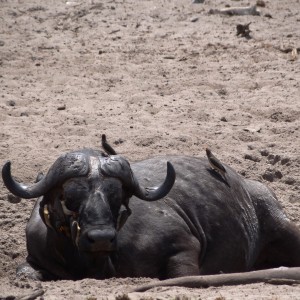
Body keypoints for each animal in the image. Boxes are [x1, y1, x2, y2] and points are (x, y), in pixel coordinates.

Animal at [1, 138, 300, 282]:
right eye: (68, 197)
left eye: (117, 196)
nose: (101, 238)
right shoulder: (36, 257)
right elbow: (24, 272)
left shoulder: (183, 248)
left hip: (284, 226)